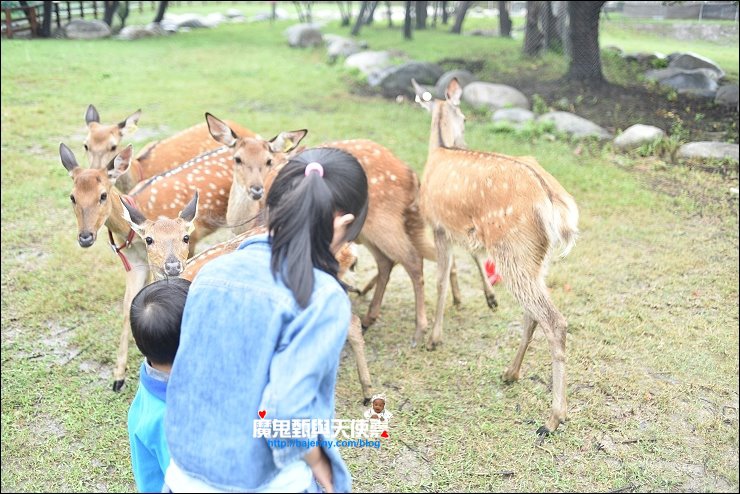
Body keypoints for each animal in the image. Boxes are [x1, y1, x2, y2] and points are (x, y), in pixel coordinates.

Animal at [57, 144, 198, 394]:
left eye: (103, 195)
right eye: (72, 196)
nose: (85, 237)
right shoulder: (135, 265)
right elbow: (128, 305)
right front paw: (118, 376)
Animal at [410, 78, 580, 436]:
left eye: (465, 118)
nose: (463, 137)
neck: (439, 151)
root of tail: (555, 205)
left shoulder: (439, 225)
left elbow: (441, 279)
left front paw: (434, 338)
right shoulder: (466, 230)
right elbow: (468, 260)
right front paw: (486, 299)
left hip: (512, 249)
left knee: (554, 320)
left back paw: (553, 418)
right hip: (535, 257)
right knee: (533, 315)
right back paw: (510, 373)